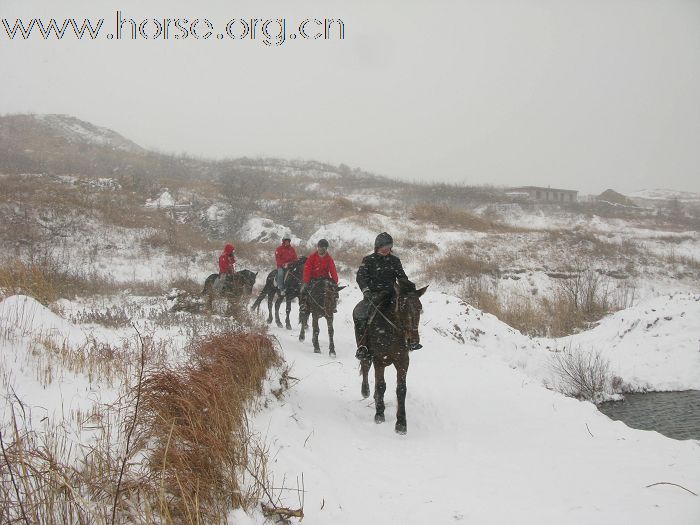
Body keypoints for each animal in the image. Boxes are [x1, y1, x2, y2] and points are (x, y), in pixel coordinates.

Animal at [360, 280, 426, 432]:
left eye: (420, 308)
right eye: (402, 307)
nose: (413, 342)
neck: (391, 331)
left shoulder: (403, 361)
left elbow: (401, 389)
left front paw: (401, 423)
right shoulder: (379, 360)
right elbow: (380, 385)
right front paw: (379, 414)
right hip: (366, 353)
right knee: (365, 367)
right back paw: (366, 391)